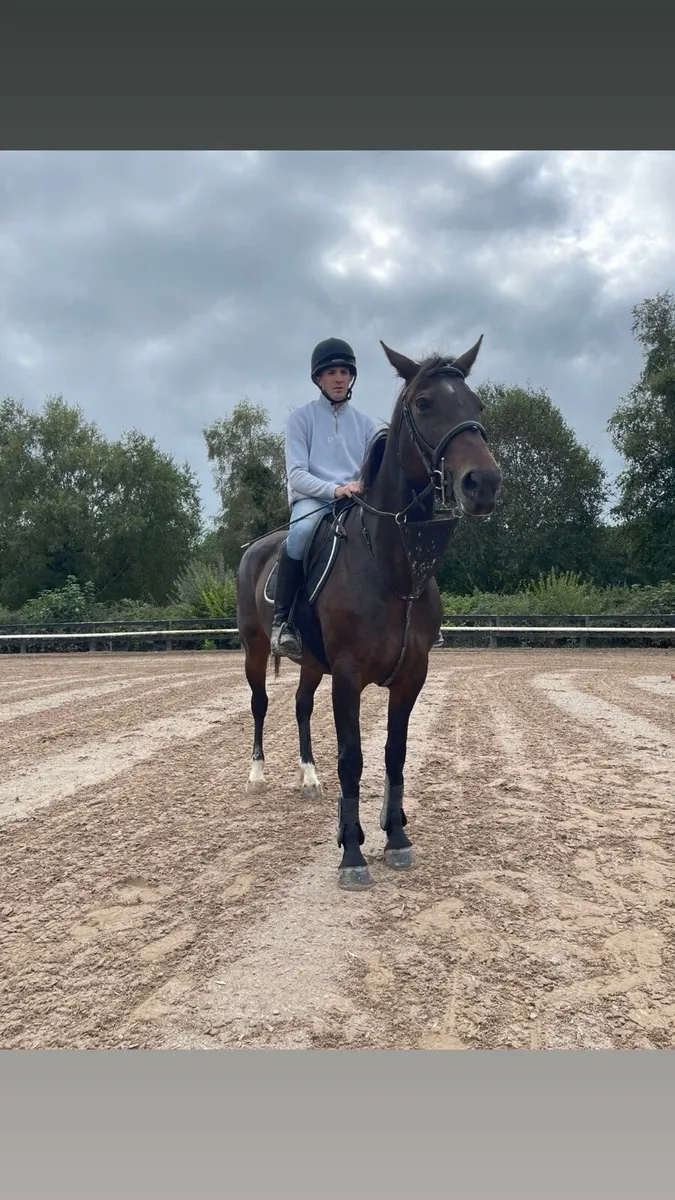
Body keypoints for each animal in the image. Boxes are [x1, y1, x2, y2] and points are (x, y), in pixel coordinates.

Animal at [235, 336, 502, 890]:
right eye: (425, 403)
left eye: (477, 405)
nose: (484, 483)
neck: (393, 567)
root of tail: (256, 548)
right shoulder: (348, 676)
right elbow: (352, 759)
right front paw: (352, 852)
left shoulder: (411, 675)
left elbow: (394, 755)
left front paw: (396, 838)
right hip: (255, 651)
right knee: (260, 704)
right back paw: (256, 774)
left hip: (312, 664)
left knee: (300, 707)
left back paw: (308, 777)